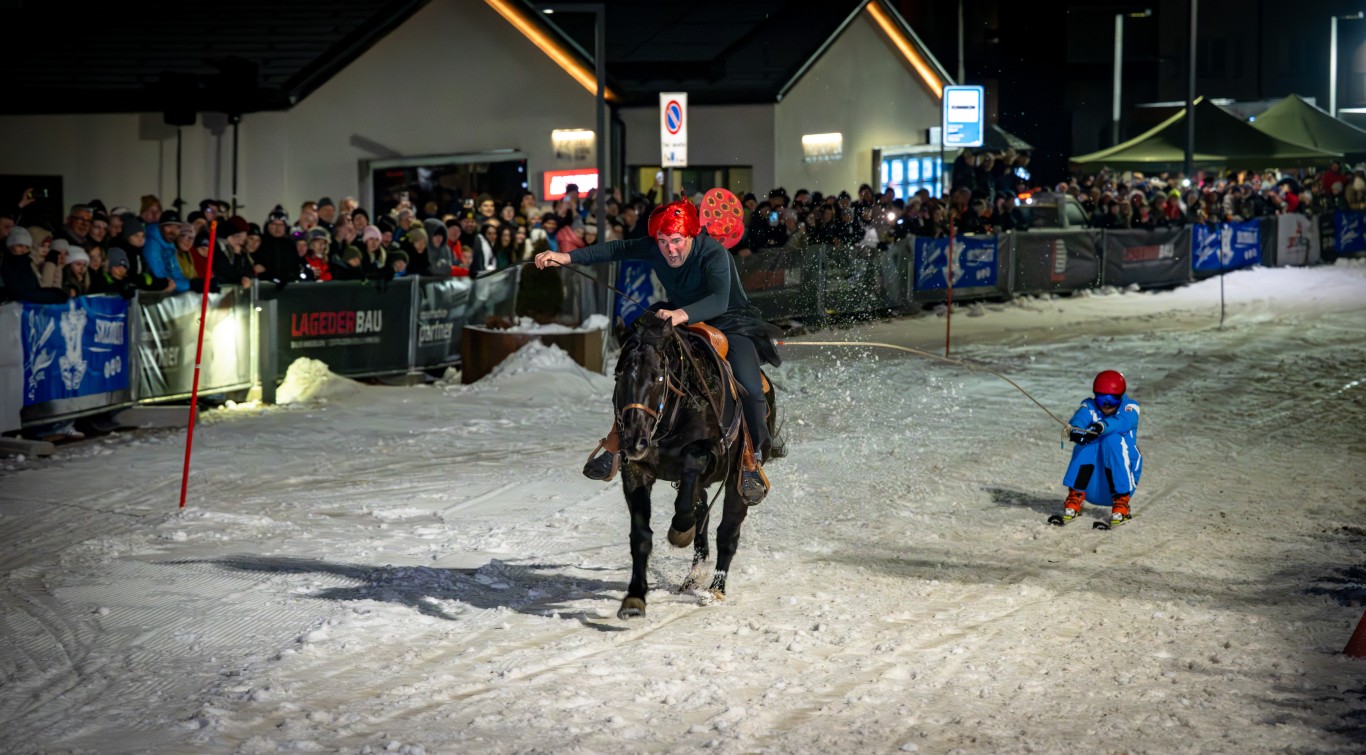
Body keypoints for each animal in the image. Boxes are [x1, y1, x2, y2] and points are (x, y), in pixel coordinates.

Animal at [611, 314, 778, 619]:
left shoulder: (703, 457)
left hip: (740, 480)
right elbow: (641, 535)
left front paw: (679, 533)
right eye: (619, 376)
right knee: (703, 517)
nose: (633, 440)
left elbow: (687, 507)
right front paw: (634, 597)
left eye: (659, 376)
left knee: (727, 531)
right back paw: (694, 577)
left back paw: (716, 589)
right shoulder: (636, 471)